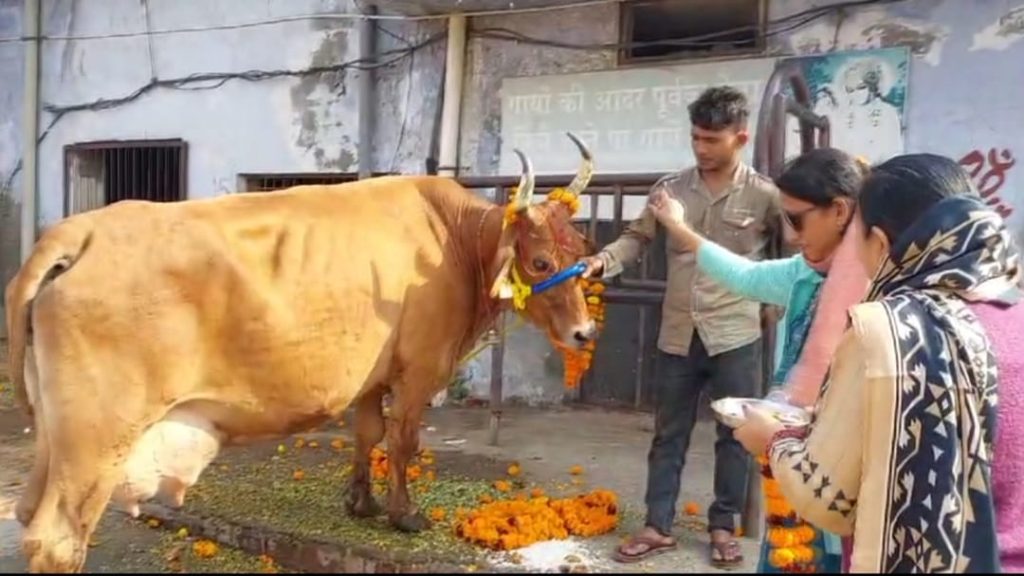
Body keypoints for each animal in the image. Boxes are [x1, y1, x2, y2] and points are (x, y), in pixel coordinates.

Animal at [4, 135, 598, 573]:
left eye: (582, 251)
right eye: (541, 262)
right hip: (99, 436)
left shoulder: (373, 375)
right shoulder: (421, 368)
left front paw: (361, 504)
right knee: (58, 539)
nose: (584, 333)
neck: (450, 240)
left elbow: (368, 435)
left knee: (28, 514)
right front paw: (404, 515)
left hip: (57, 434)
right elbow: (403, 441)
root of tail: (83, 229)